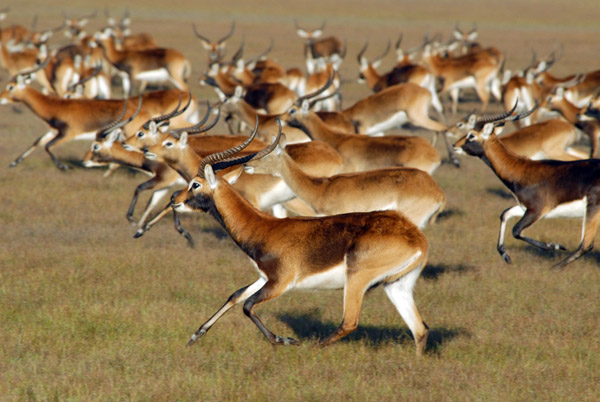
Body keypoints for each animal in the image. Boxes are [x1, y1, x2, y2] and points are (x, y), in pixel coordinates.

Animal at [452, 108, 600, 268]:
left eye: (471, 135)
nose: (455, 145)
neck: (521, 170)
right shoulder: (524, 208)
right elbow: (504, 214)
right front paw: (505, 256)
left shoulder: (536, 211)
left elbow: (516, 230)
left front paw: (554, 246)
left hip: (592, 210)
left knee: (586, 245)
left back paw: (553, 268)